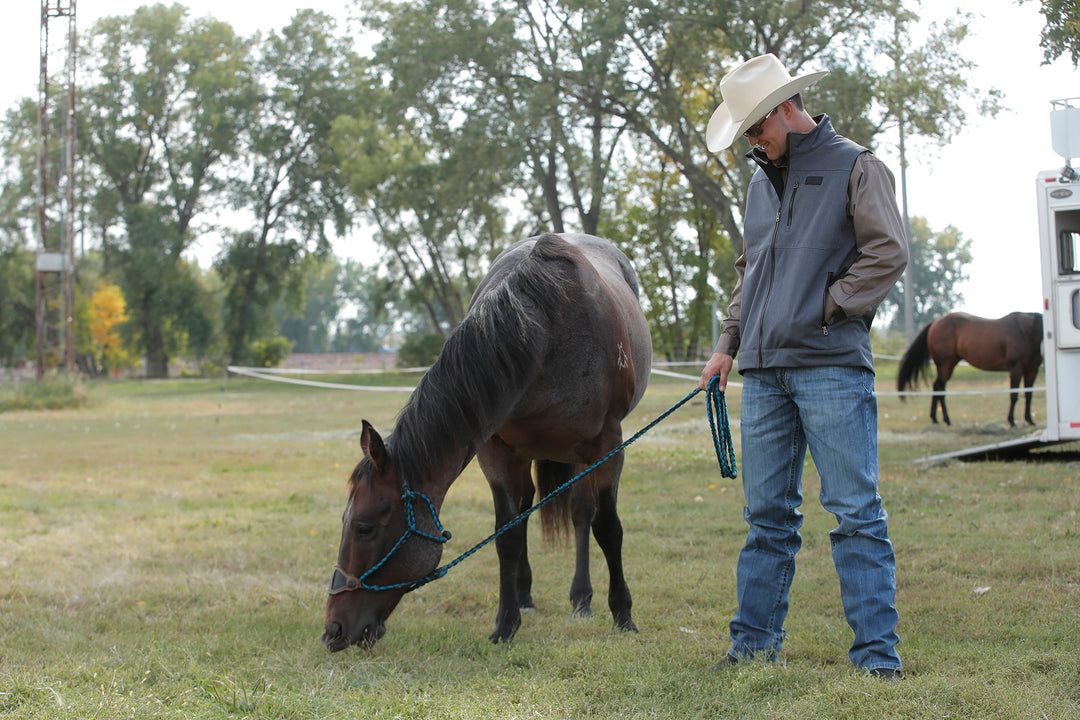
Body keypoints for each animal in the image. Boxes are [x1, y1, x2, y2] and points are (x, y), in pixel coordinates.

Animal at [319, 234, 648, 651]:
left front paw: (623, 614)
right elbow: (507, 536)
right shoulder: (496, 452)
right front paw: (505, 624)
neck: (547, 333)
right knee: (526, 513)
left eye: (364, 527)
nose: (333, 629)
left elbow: (607, 528)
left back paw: (581, 599)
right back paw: (525, 597)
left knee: (581, 514)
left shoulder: (608, 445)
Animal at [894, 310, 1045, 427]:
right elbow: (1014, 396)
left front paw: (1030, 420)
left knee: (938, 387)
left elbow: (1029, 395)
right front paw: (1012, 421)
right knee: (939, 387)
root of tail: (935, 322)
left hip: (948, 365)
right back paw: (945, 420)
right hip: (945, 365)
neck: (1027, 332)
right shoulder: (1016, 370)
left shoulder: (1032, 370)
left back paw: (936, 419)